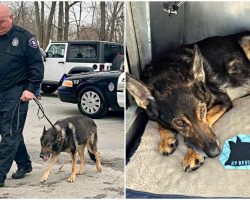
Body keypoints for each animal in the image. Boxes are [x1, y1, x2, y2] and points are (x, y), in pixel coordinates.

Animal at [127, 31, 250, 172]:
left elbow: (208, 118)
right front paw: (167, 139)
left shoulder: (222, 100)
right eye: (179, 122)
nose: (214, 153)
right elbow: (159, 123)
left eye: (202, 110)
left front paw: (192, 154)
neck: (166, 74)